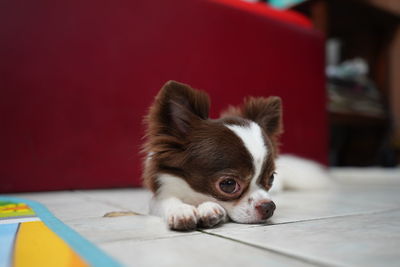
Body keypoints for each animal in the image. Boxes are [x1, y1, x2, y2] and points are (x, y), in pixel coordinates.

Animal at [142, 80, 330, 231]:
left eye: (271, 179)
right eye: (228, 184)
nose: (269, 206)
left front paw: (209, 208)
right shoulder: (158, 196)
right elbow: (168, 201)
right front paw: (180, 210)